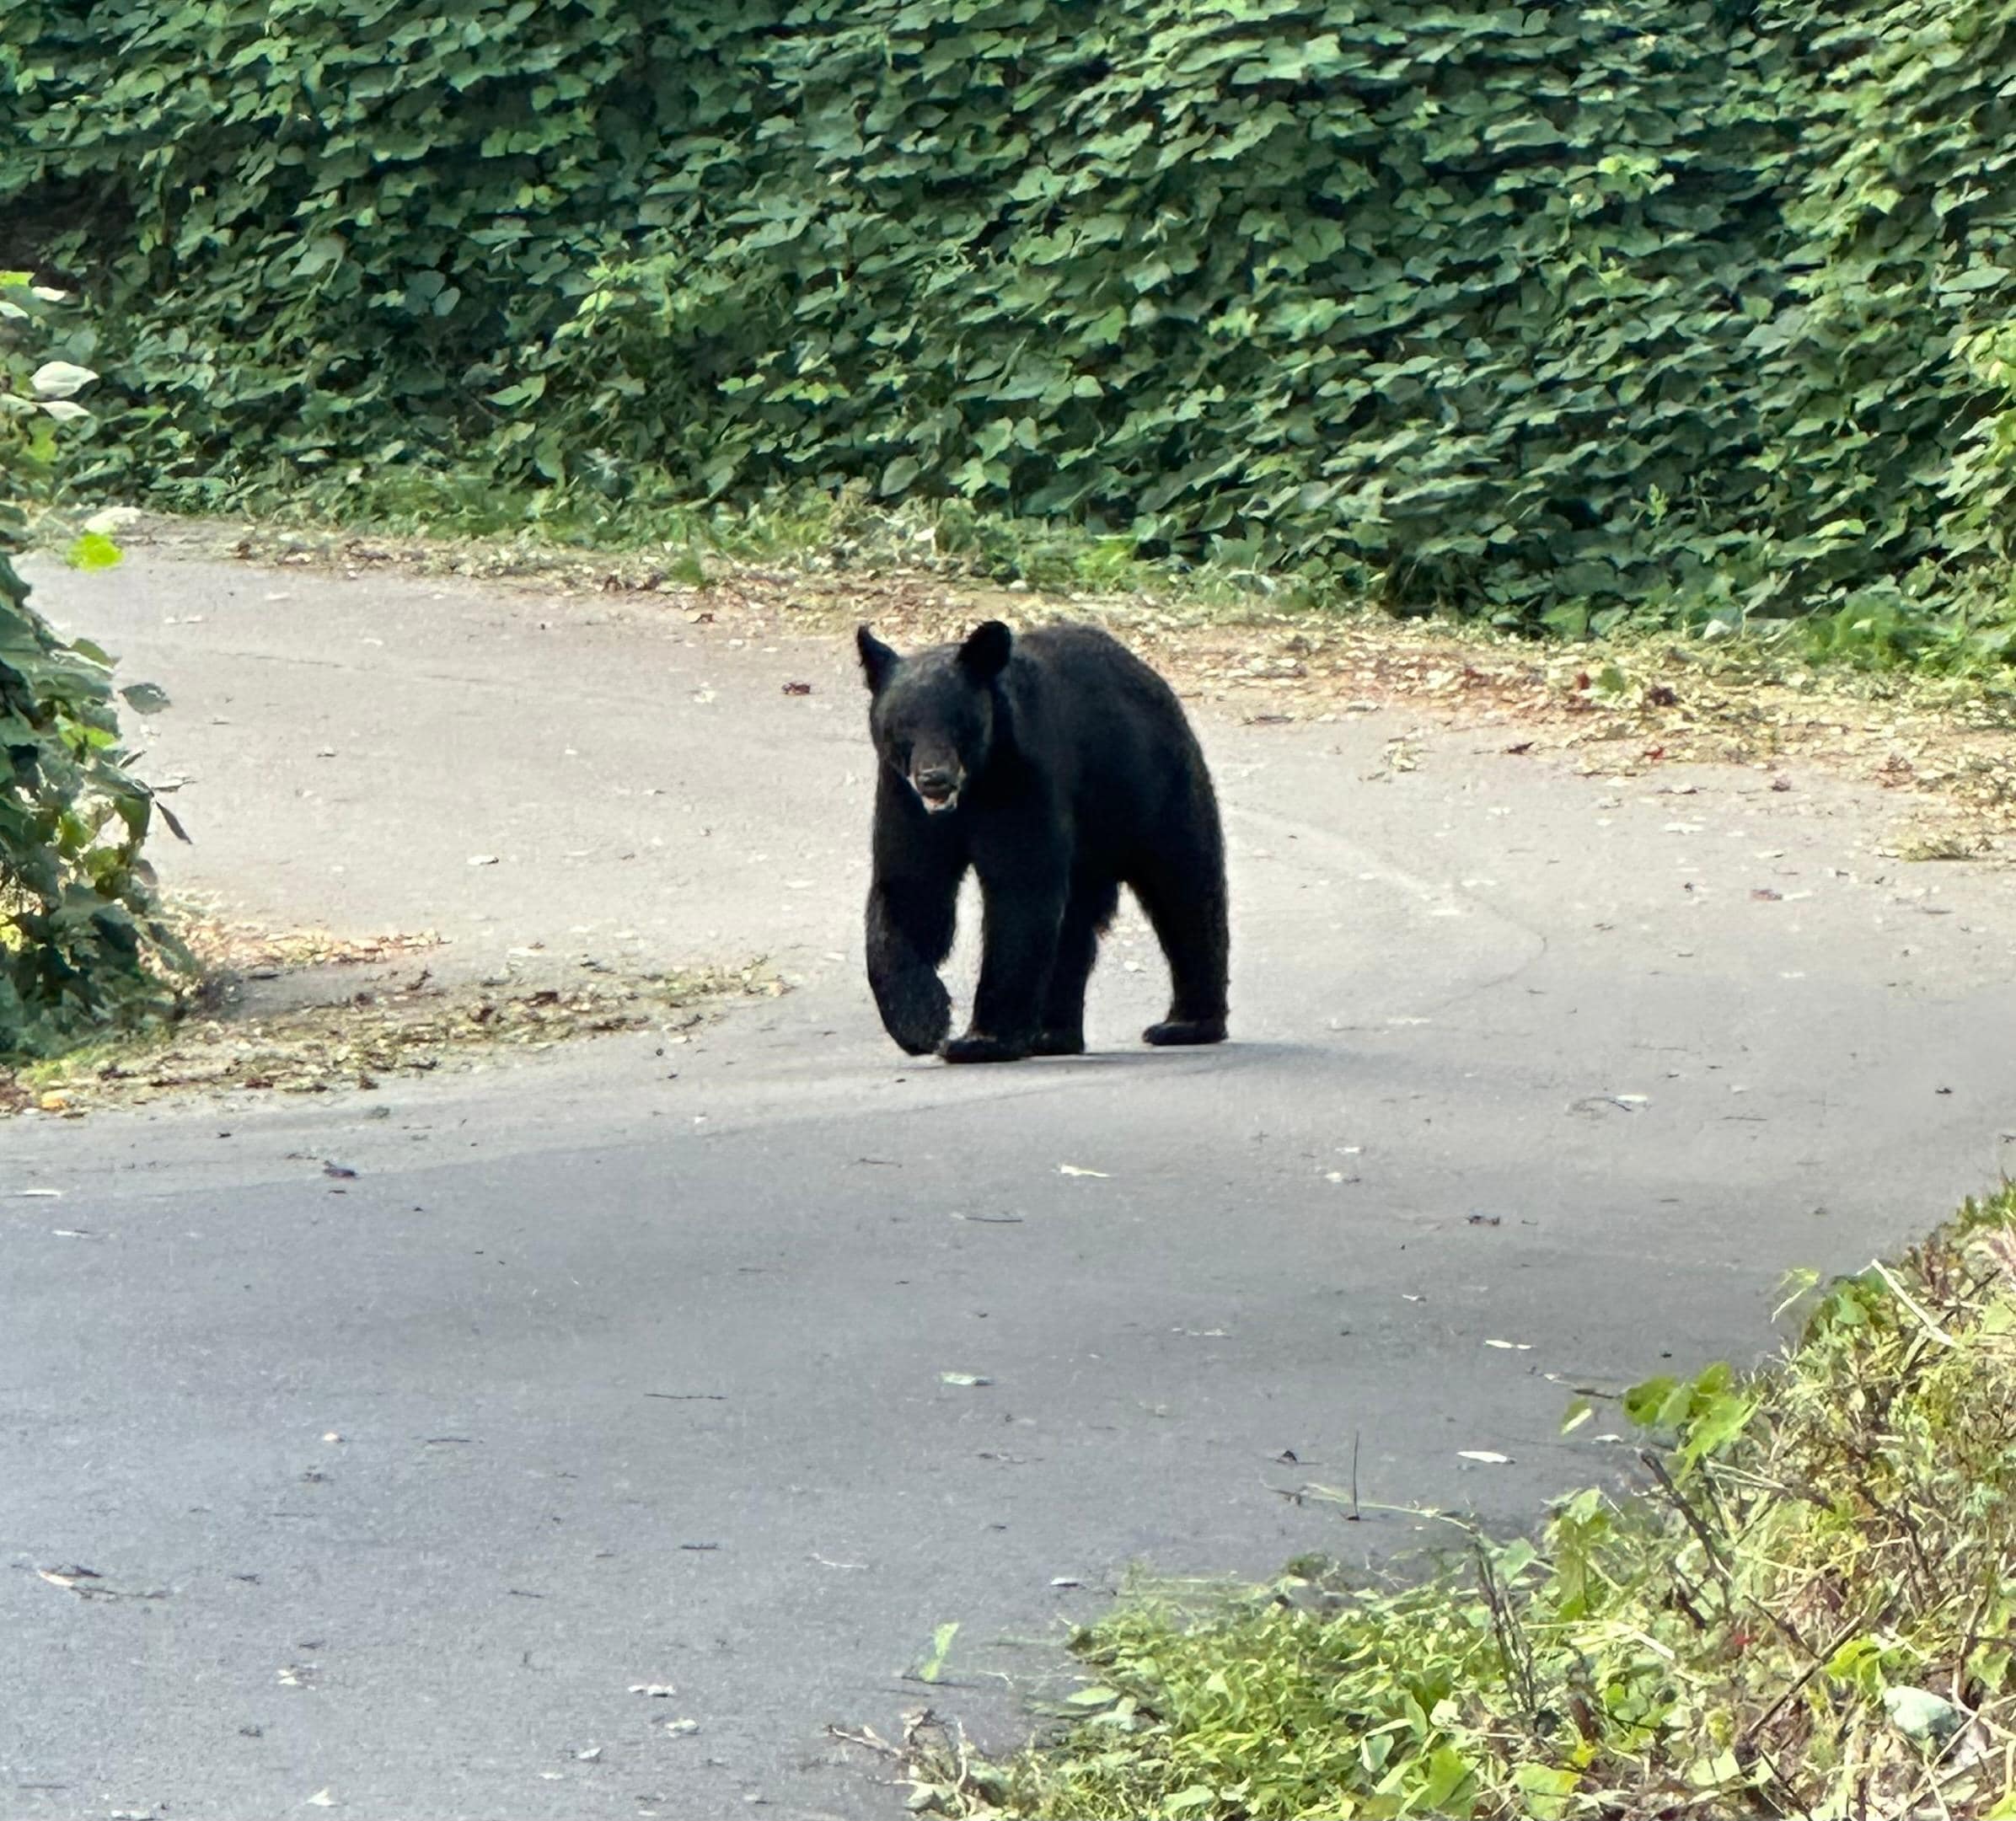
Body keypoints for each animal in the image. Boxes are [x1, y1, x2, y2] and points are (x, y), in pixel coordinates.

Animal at [854, 618, 1229, 1063]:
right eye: (901, 724)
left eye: (958, 721)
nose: (934, 778)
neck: (975, 788)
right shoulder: (903, 800)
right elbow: (911, 891)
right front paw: (920, 1021)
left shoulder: (1024, 779)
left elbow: (1020, 891)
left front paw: (980, 1040)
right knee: (1075, 926)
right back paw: (1052, 1034)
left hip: (1150, 787)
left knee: (1185, 891)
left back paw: (1186, 1024)